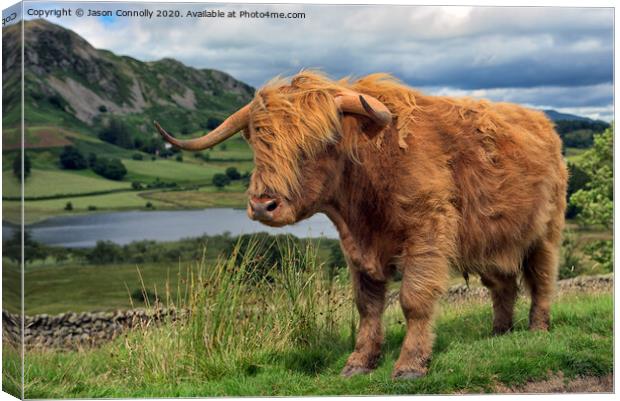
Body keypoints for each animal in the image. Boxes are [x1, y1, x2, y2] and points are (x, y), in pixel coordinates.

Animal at [155, 71, 568, 378]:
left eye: (317, 142)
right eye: (258, 140)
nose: (262, 204)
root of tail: (543, 123)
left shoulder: (427, 232)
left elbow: (414, 299)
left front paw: (410, 365)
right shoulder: (356, 248)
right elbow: (367, 305)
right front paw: (359, 363)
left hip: (545, 233)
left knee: (542, 279)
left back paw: (537, 329)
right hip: (494, 239)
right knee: (503, 284)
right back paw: (499, 332)